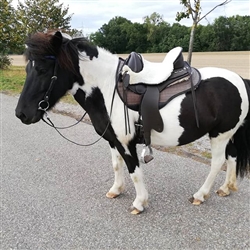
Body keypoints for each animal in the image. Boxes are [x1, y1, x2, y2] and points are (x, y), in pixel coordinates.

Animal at [16, 31, 250, 214]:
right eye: (27, 69)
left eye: (43, 70)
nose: (21, 114)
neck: (107, 87)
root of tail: (239, 79)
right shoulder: (112, 139)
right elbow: (116, 164)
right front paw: (116, 190)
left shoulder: (126, 142)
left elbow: (134, 170)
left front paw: (139, 203)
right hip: (227, 134)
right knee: (232, 157)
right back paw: (225, 188)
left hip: (219, 135)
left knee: (217, 162)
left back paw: (200, 195)